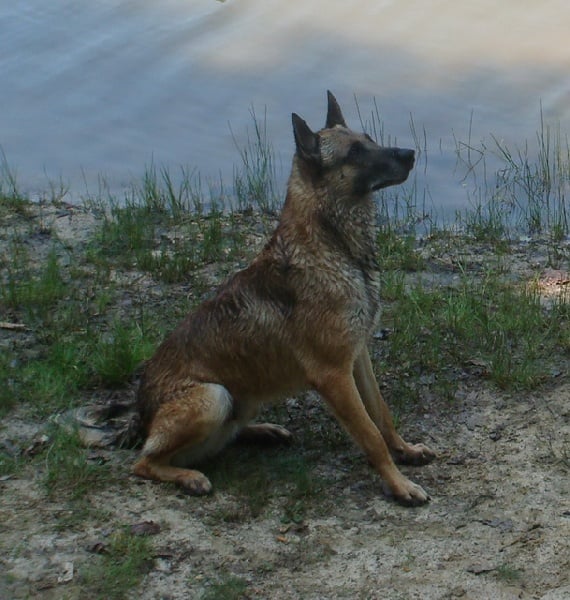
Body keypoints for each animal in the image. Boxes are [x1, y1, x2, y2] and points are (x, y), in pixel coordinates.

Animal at [133, 91, 434, 506]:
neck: (335, 248)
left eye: (370, 138)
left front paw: (404, 450)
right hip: (213, 397)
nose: (410, 153)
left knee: (222, 435)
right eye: (355, 152)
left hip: (236, 401)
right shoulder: (333, 376)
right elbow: (370, 435)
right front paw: (398, 484)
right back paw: (189, 476)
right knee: (144, 463)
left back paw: (263, 430)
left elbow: (382, 413)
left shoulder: (358, 356)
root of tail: (140, 415)